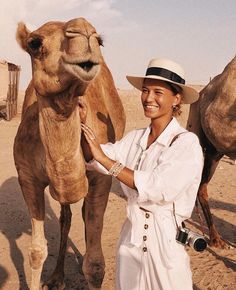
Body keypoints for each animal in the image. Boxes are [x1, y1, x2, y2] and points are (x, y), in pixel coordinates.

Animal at [13, 18, 125, 290]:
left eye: (100, 41)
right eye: (34, 43)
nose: (84, 29)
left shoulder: (101, 178)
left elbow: (95, 265)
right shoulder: (27, 177)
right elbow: (36, 251)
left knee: (84, 216)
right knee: (66, 217)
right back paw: (57, 277)